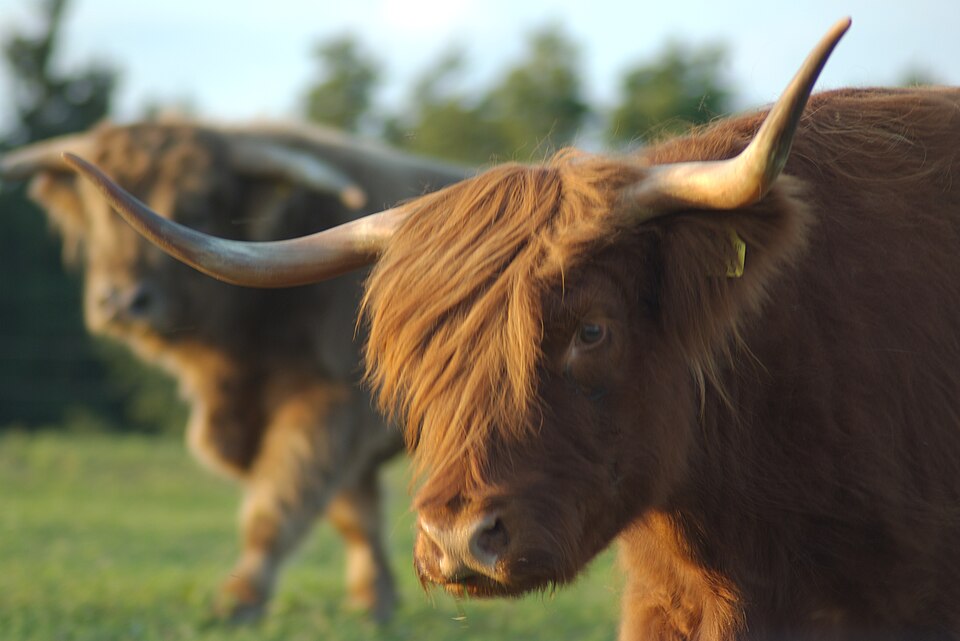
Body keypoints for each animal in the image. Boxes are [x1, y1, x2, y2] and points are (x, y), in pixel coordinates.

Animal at [0, 120, 469, 623]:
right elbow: (353, 512)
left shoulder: (334, 403)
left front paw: (240, 599)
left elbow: (282, 495)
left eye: (195, 204)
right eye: (96, 211)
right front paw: (373, 599)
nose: (123, 300)